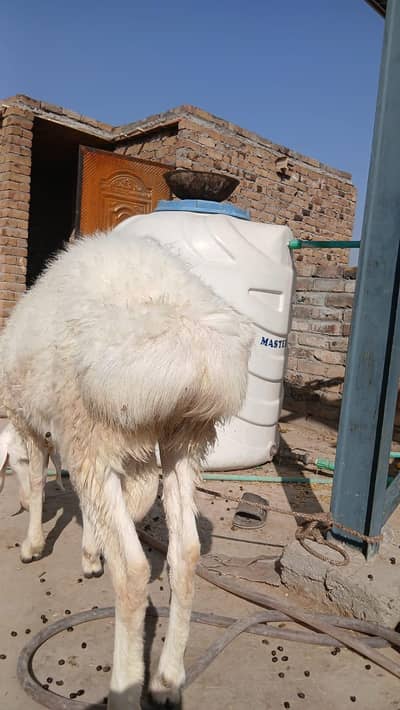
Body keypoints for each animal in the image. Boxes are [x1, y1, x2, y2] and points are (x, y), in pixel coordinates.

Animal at [0, 229, 253, 708]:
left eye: (12, 465)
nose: (15, 505)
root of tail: (186, 340)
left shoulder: (38, 424)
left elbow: (42, 480)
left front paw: (34, 544)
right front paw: (90, 551)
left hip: (93, 426)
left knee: (134, 572)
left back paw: (126, 685)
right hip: (182, 444)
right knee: (185, 553)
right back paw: (167, 679)